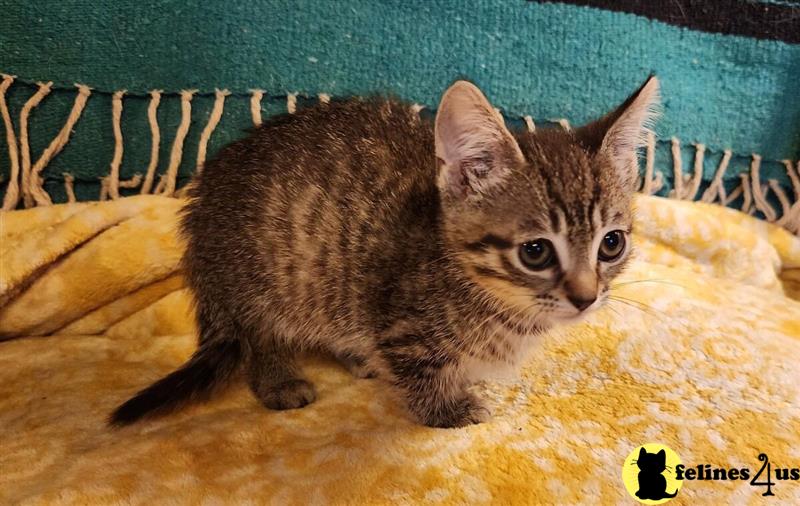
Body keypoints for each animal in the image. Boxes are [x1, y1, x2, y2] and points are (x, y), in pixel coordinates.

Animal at [112, 77, 664, 428]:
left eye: (611, 243)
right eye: (535, 252)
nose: (587, 298)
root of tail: (200, 214)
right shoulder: (399, 322)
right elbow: (421, 372)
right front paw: (447, 411)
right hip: (266, 277)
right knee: (259, 336)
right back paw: (280, 381)